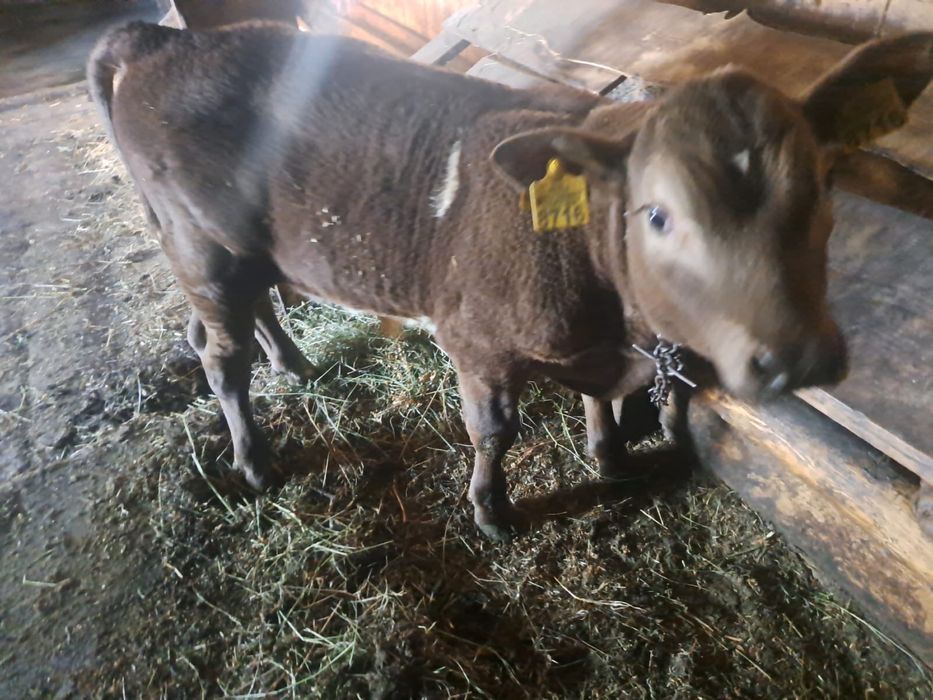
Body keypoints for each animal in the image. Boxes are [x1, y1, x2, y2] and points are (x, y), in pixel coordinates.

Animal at [87, 21, 932, 540]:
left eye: (821, 185)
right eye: (656, 215)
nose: (794, 356)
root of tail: (162, 38)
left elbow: (602, 399)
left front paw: (609, 456)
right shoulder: (477, 341)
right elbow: (494, 431)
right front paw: (490, 509)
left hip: (246, 249)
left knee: (248, 312)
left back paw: (292, 364)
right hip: (203, 248)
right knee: (217, 352)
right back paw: (255, 460)